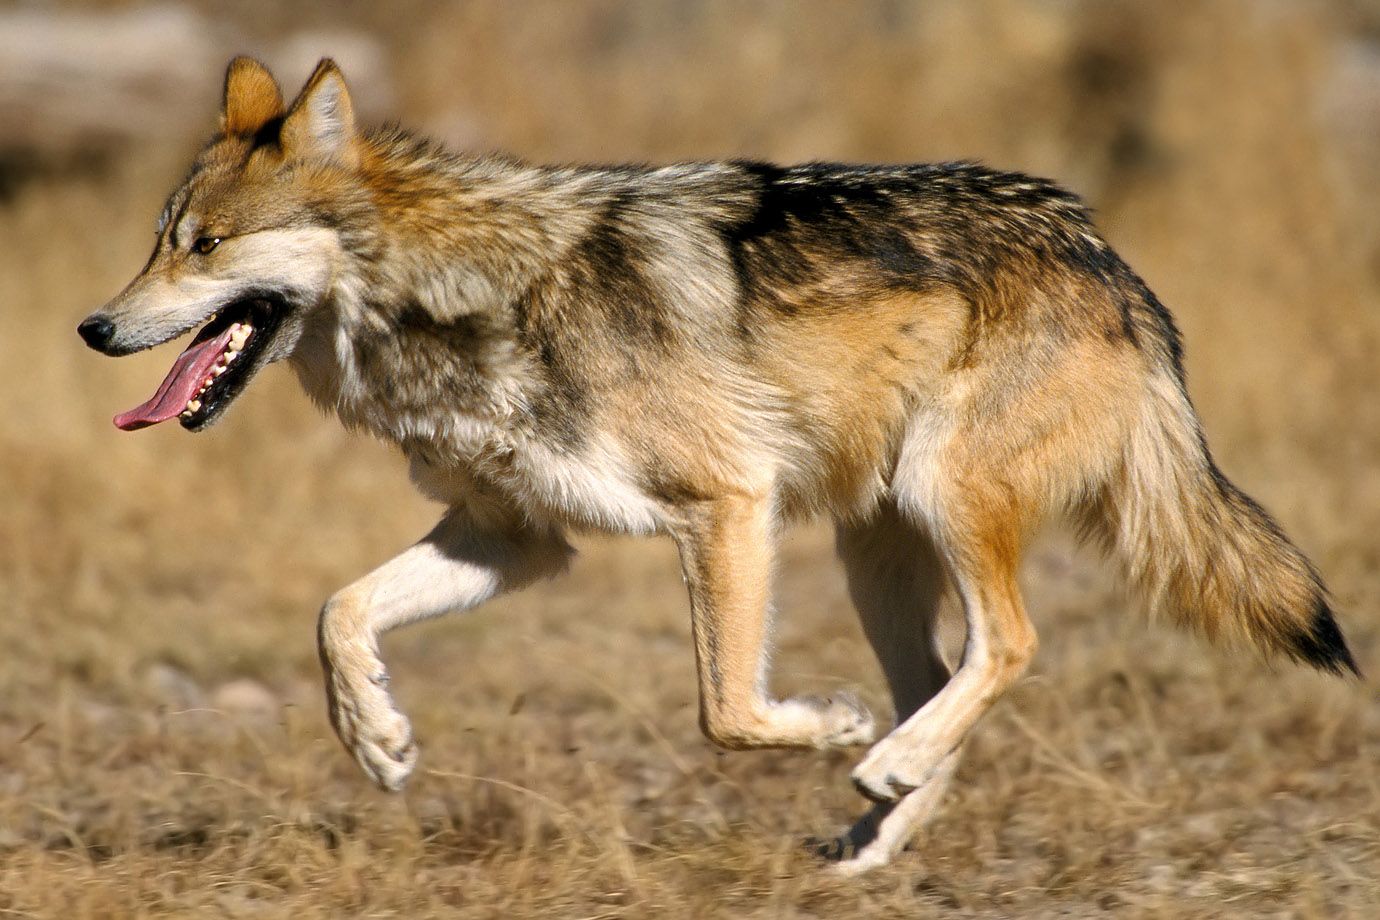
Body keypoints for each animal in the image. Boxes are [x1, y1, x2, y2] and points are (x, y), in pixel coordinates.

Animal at [79, 57, 1357, 872]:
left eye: (205, 246)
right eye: (156, 241)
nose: (93, 326)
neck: (464, 297)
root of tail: (1108, 257)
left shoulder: (727, 504)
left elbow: (728, 710)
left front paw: (828, 725)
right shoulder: (515, 538)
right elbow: (337, 611)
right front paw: (378, 738)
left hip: (938, 501)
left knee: (1008, 646)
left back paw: (878, 759)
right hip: (873, 553)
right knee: (946, 679)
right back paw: (873, 832)